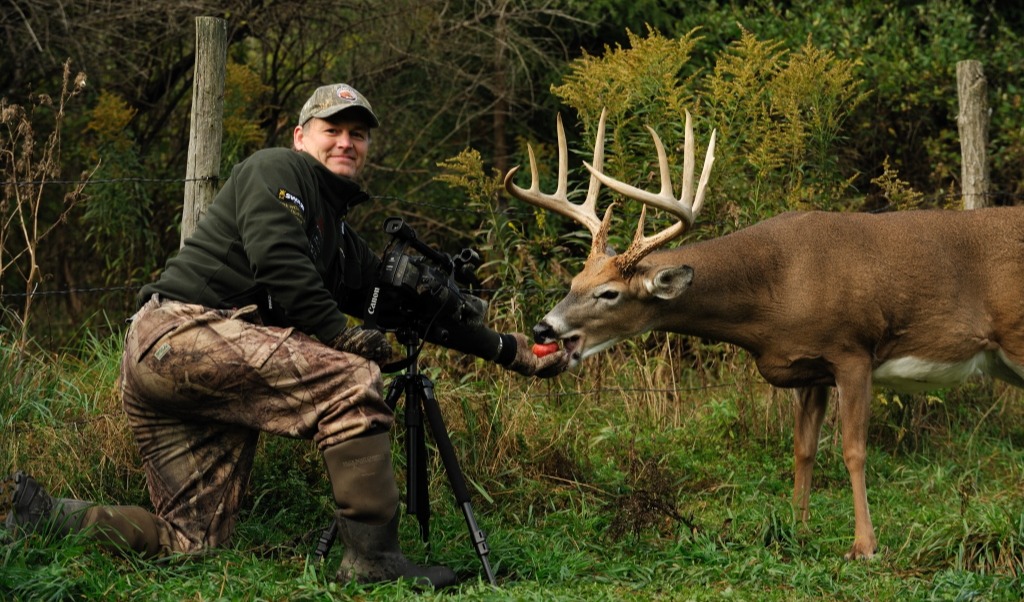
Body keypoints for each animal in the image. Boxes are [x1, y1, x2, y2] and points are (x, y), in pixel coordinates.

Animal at [503, 108, 1024, 560]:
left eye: (608, 293)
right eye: (574, 281)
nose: (544, 327)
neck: (777, 288)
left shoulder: (853, 351)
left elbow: (853, 451)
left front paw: (864, 546)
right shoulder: (809, 369)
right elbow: (803, 450)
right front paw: (796, 529)